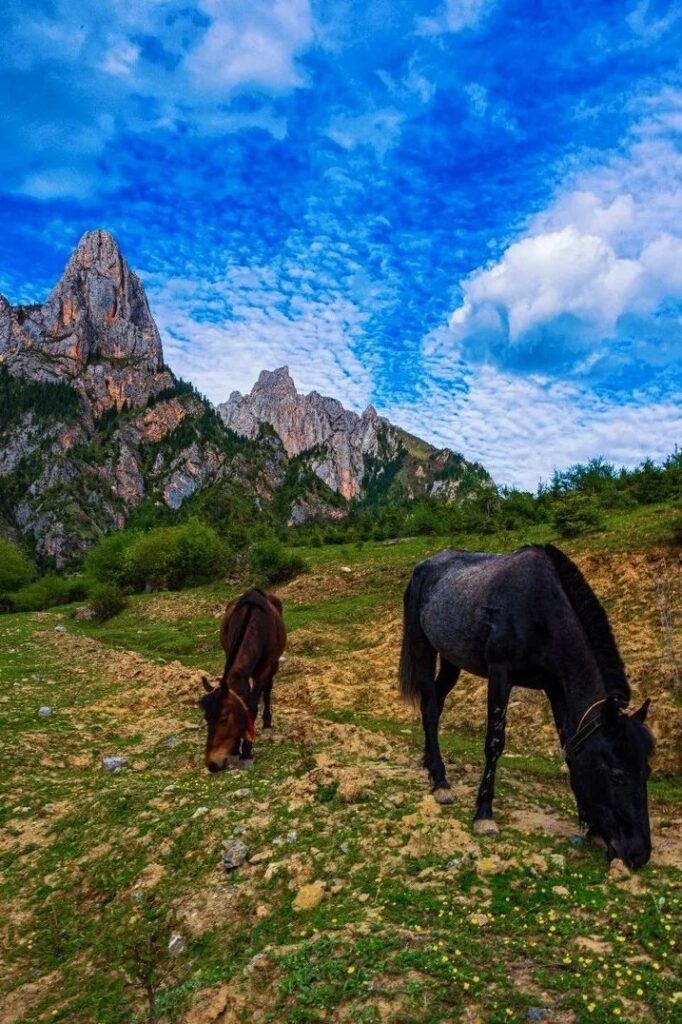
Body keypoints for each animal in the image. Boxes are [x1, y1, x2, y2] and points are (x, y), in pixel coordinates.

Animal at [199, 589, 284, 770]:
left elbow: (252, 707)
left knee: (268, 688)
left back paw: (267, 725)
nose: (212, 764)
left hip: (273, 663)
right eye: (206, 718)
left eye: (224, 719)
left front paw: (246, 753)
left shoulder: (263, 670)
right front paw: (234, 752)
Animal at [399, 540, 655, 868]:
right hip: (423, 648)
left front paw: (589, 824)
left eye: (646, 772)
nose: (639, 853)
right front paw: (484, 814)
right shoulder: (500, 674)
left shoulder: (555, 687)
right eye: (617, 775)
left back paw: (431, 766)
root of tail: (424, 567)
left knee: (435, 703)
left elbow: (570, 747)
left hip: (452, 660)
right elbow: (495, 742)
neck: (541, 610)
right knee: (430, 708)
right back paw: (441, 782)